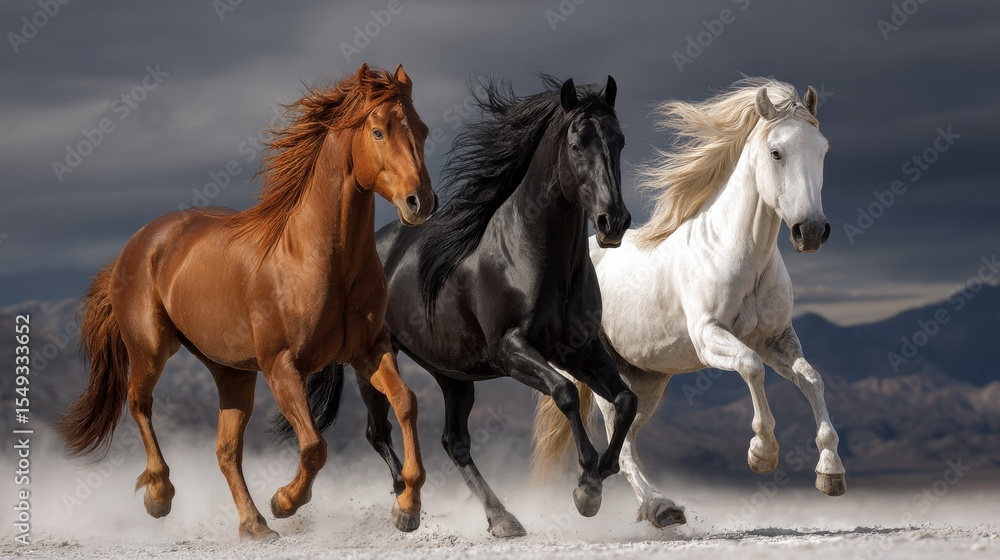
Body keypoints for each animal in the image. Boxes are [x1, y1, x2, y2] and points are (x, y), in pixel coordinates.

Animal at [57, 63, 436, 540]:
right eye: (378, 130)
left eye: (422, 129)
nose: (420, 202)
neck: (318, 257)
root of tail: (140, 243)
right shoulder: (282, 365)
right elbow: (314, 446)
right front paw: (286, 501)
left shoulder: (368, 351)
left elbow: (406, 402)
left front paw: (408, 506)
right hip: (151, 349)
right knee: (139, 404)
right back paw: (161, 495)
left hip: (232, 373)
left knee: (225, 450)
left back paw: (254, 524)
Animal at [276, 75, 638, 537]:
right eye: (577, 145)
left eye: (620, 140)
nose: (614, 222)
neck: (535, 255)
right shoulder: (511, 349)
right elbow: (565, 393)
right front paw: (587, 485)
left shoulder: (578, 348)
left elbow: (625, 400)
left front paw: (601, 475)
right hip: (371, 361)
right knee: (379, 431)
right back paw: (404, 503)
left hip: (453, 375)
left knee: (455, 443)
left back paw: (501, 518)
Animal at [531, 78, 847, 528]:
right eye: (776, 152)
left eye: (823, 149)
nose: (812, 231)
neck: (741, 254)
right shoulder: (709, 336)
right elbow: (751, 367)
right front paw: (762, 453)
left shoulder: (778, 339)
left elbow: (811, 379)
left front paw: (830, 471)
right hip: (598, 369)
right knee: (619, 444)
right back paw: (653, 506)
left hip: (646, 380)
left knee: (626, 437)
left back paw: (655, 507)